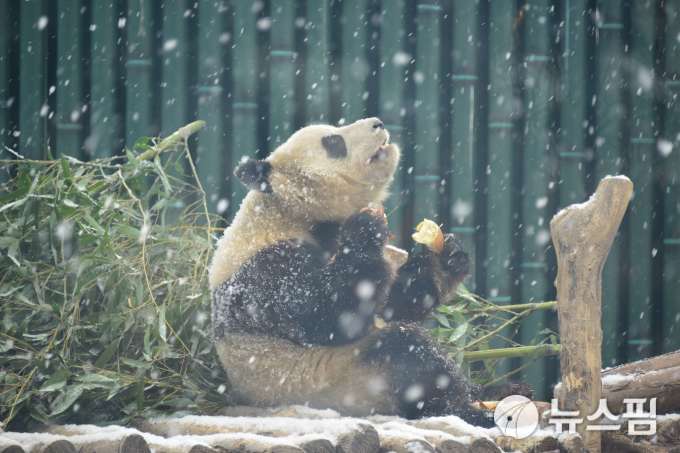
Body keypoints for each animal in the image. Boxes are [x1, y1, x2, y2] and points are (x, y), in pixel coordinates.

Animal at [210, 115, 492, 424]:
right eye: (334, 142)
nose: (378, 123)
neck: (289, 211)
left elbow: (392, 304)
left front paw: (447, 257)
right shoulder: (265, 268)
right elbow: (326, 314)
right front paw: (365, 229)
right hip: (338, 382)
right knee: (406, 351)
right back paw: (463, 409)